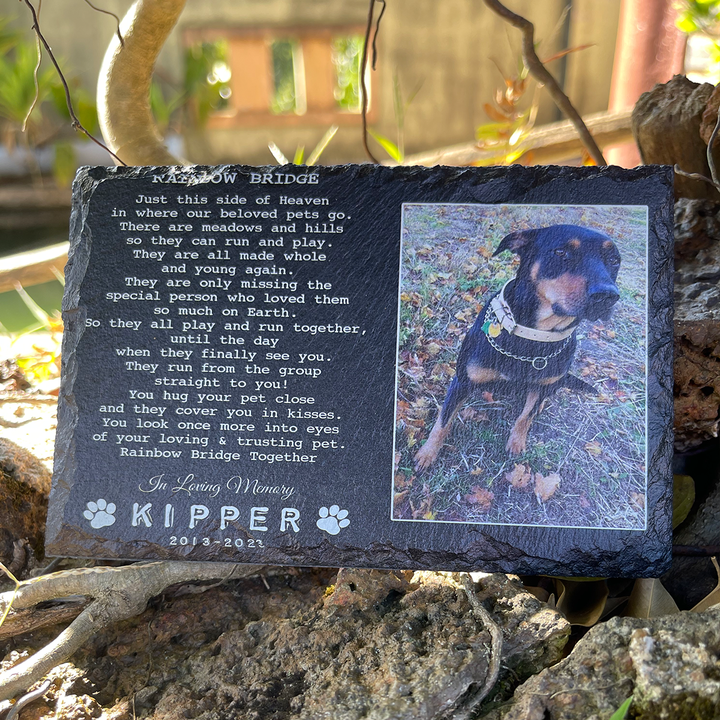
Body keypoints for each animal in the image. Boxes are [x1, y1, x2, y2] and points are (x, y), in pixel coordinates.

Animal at [414, 225, 620, 472]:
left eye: (614, 260)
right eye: (561, 252)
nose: (608, 295)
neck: (533, 337)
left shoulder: (542, 385)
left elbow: (525, 416)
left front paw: (516, 442)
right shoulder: (462, 382)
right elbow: (443, 421)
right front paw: (427, 454)